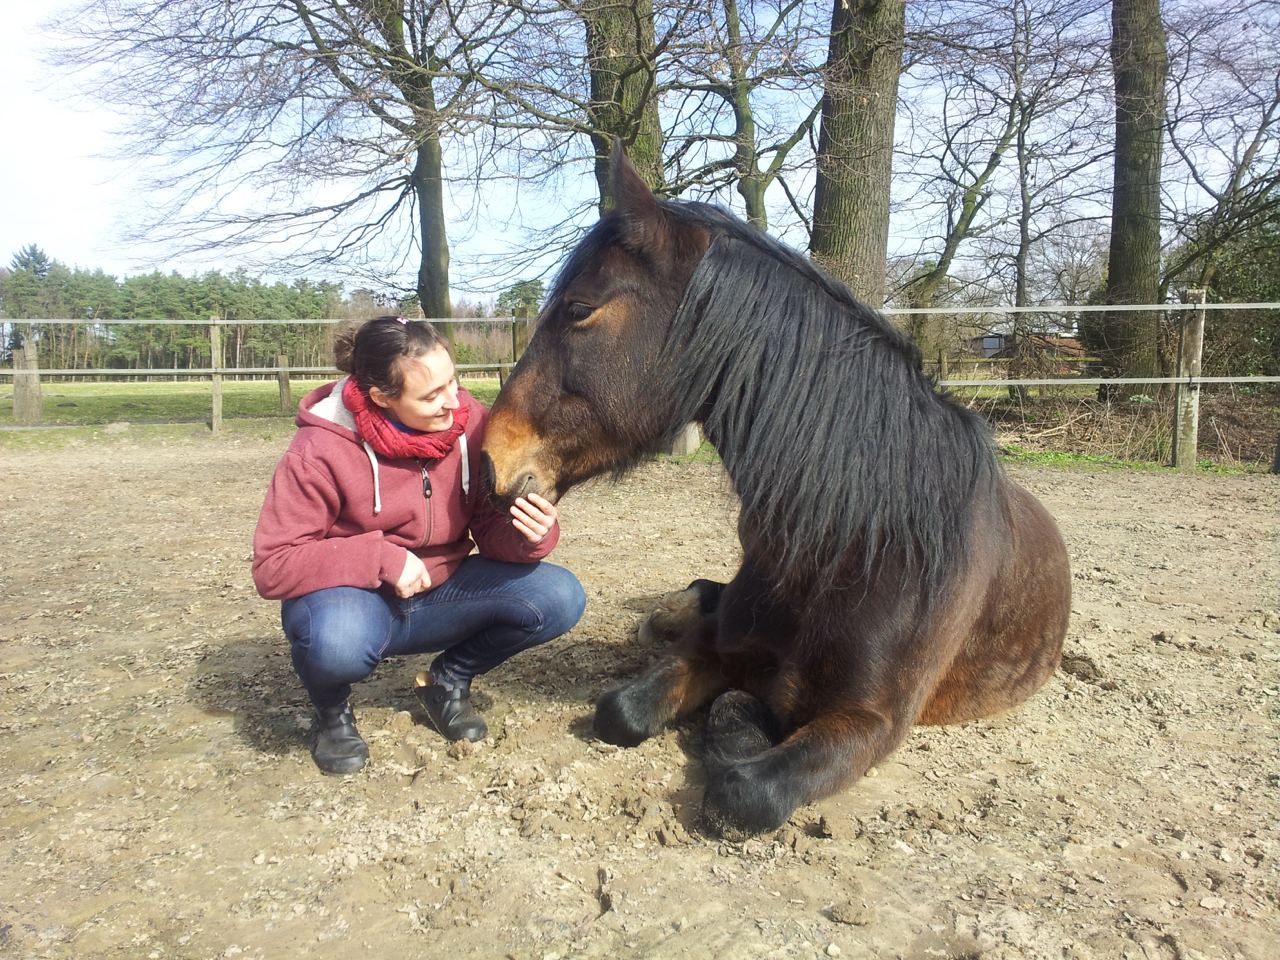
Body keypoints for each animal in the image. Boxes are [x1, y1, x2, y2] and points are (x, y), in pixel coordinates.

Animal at [480, 145, 1071, 839]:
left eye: (578, 309)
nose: (489, 458)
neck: (860, 536)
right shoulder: (718, 649)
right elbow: (622, 709)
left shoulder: (872, 721)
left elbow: (746, 792)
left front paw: (739, 727)